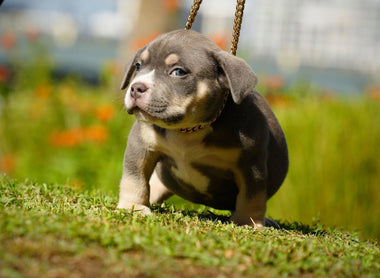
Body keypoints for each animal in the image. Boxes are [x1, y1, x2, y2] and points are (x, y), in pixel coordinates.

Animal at [118, 29, 288, 227]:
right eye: (138, 66)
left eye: (178, 72)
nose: (136, 88)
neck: (188, 128)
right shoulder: (140, 146)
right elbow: (134, 180)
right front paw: (133, 207)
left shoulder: (250, 165)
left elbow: (251, 196)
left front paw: (248, 221)